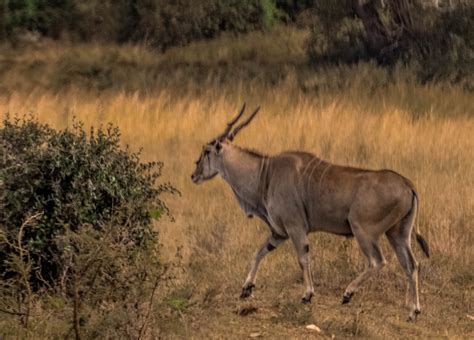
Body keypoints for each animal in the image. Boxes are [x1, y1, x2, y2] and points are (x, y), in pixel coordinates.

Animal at [190, 104, 430, 322]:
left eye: (206, 151)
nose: (194, 175)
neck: (265, 173)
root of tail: (408, 184)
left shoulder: (295, 228)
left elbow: (302, 258)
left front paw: (307, 295)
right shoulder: (279, 233)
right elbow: (259, 252)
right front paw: (246, 288)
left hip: (363, 230)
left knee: (378, 261)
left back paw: (348, 293)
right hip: (398, 234)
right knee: (412, 265)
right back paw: (413, 311)